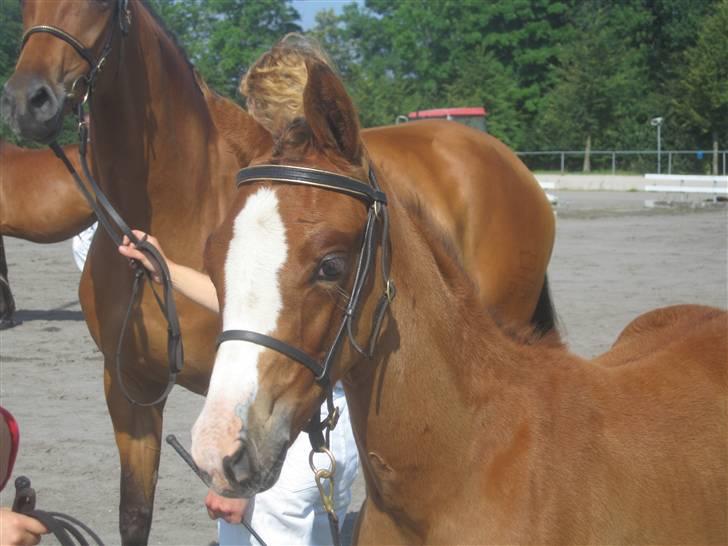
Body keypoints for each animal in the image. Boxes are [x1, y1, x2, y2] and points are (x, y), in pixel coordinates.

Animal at [1, 2, 552, 540]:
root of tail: (502, 158)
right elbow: (135, 514)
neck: (176, 202)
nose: (30, 100)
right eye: (26, 4)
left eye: (99, 4)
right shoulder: (129, 390)